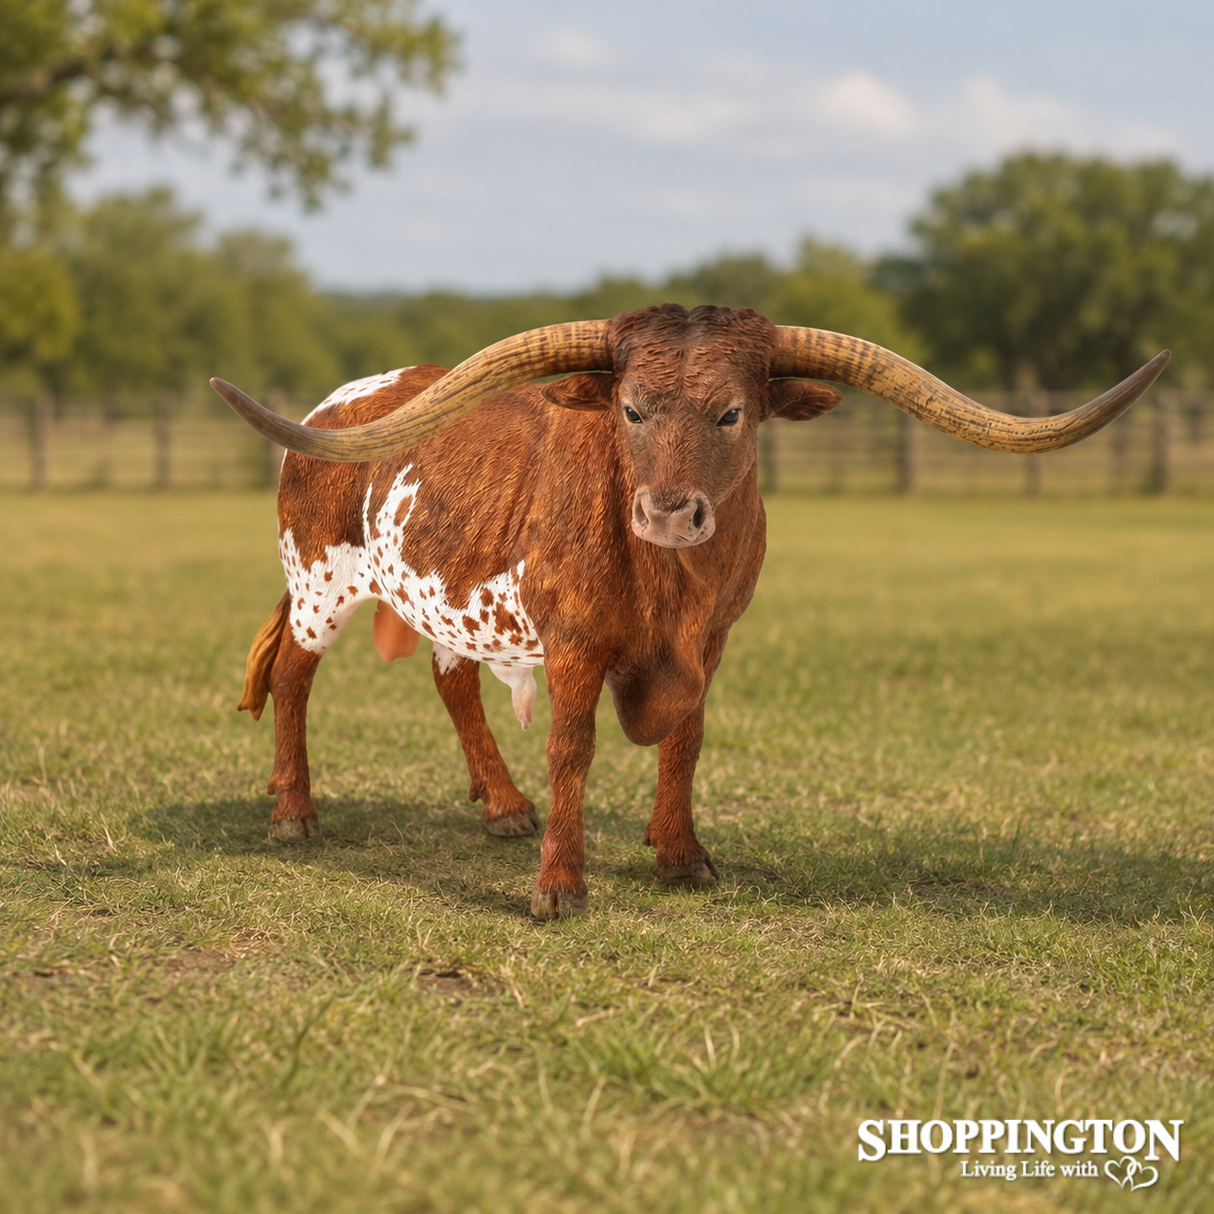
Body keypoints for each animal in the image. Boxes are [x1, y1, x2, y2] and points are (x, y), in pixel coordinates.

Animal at [212, 304, 1168, 918]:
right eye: (631, 408)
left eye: (732, 412)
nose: (670, 513)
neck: (670, 584)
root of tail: (344, 401)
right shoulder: (573, 644)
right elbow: (573, 748)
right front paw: (560, 886)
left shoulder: (713, 641)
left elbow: (688, 738)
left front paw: (680, 855)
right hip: (321, 582)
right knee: (294, 676)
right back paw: (294, 813)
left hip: (443, 598)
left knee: (454, 684)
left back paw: (503, 805)